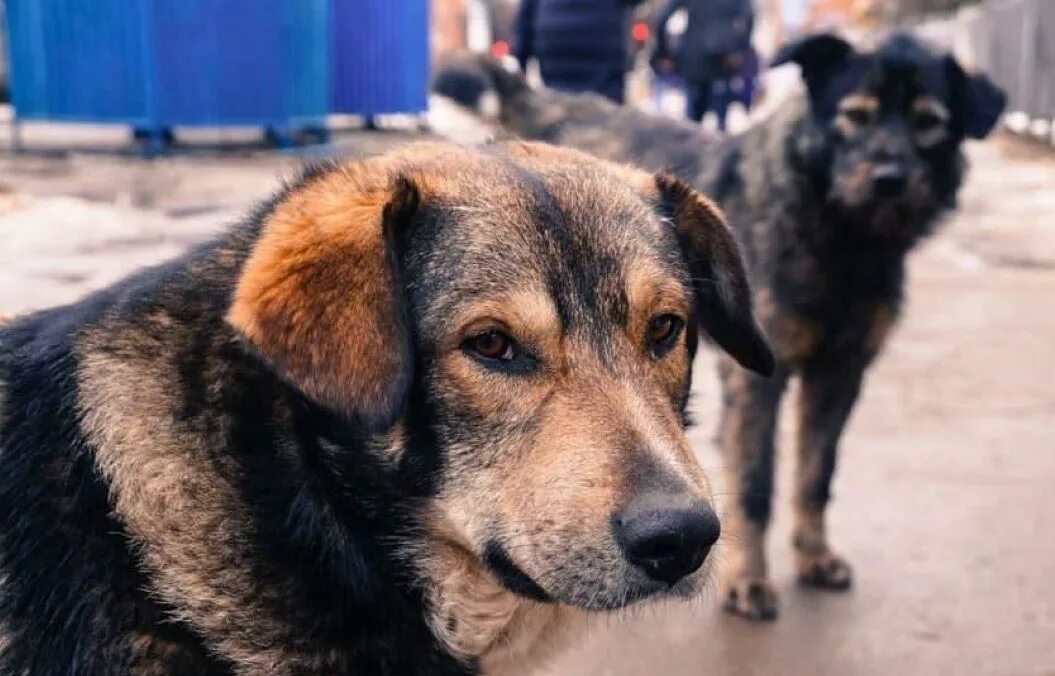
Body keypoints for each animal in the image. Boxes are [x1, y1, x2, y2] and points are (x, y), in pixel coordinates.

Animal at [434, 32, 1004, 624]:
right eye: (855, 116)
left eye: (929, 121)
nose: (889, 180)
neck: (843, 238)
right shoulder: (758, 384)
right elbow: (755, 484)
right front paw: (749, 579)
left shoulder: (841, 374)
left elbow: (816, 475)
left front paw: (814, 554)